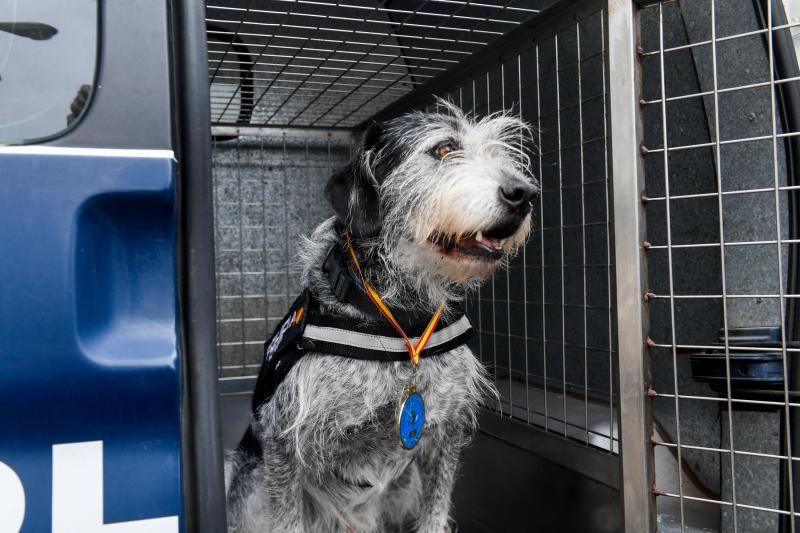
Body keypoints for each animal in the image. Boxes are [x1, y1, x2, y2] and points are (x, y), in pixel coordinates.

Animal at [225, 101, 536, 532]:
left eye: (500, 152)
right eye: (443, 149)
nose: (524, 194)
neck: (403, 320)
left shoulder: (446, 433)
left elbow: (436, 510)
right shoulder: (283, 439)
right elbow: (288, 519)